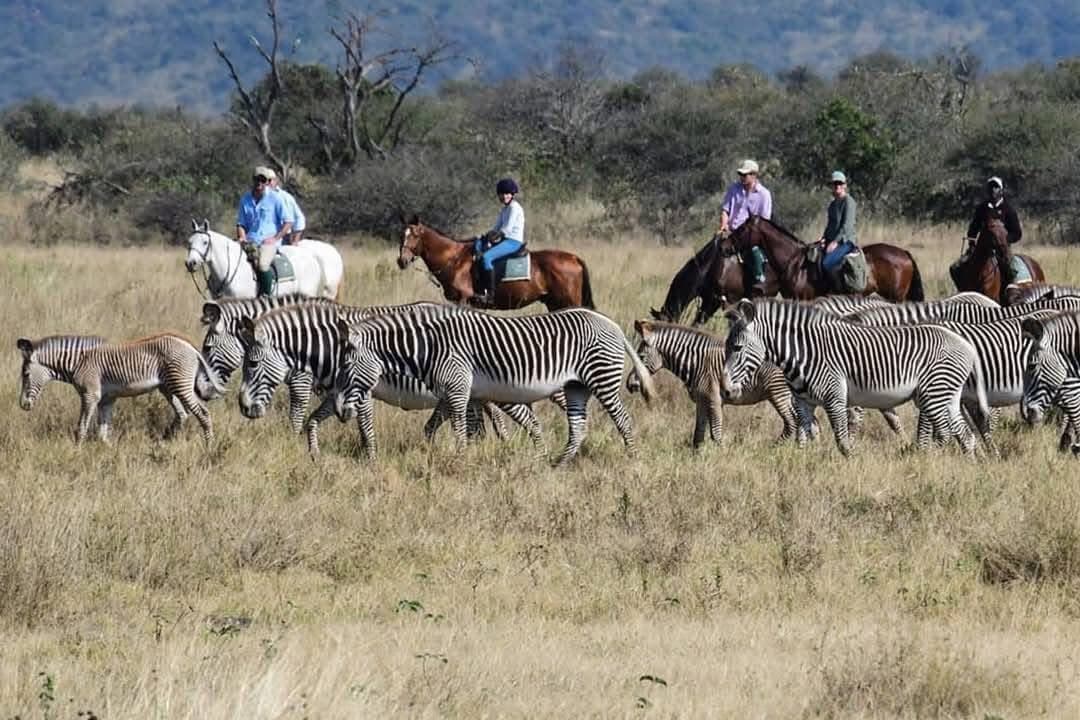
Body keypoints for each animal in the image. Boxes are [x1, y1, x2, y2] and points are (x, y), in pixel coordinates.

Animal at [398, 216, 594, 311]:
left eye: (415, 235)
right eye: (401, 235)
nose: (401, 261)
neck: (455, 259)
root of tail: (574, 258)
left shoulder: (464, 301)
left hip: (569, 302)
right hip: (554, 303)